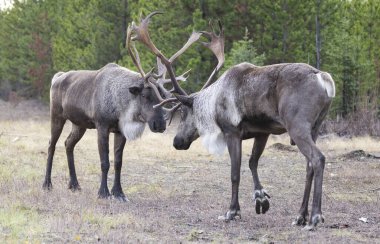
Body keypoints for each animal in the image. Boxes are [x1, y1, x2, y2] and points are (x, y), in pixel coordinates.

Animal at [131, 12, 336, 231]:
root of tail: (323, 78)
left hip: (297, 126)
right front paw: (261, 198)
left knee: (318, 158)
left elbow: (235, 173)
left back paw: (315, 217)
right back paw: (300, 216)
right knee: (308, 166)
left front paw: (232, 211)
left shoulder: (232, 132)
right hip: (316, 127)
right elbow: (253, 162)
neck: (213, 101)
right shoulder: (262, 132)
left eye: (185, 113)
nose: (176, 142)